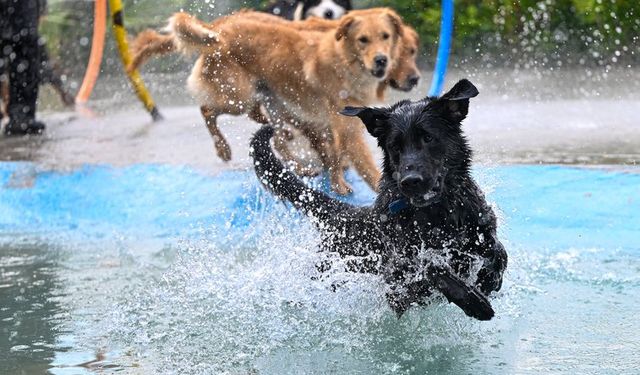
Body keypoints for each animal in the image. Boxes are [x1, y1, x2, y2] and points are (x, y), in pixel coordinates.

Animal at [249, 79, 504, 320]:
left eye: (428, 138)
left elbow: (499, 251)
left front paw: (489, 279)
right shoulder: (400, 269)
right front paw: (473, 300)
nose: (410, 181)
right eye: (394, 146)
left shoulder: (481, 225)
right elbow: (432, 267)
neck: (438, 213)